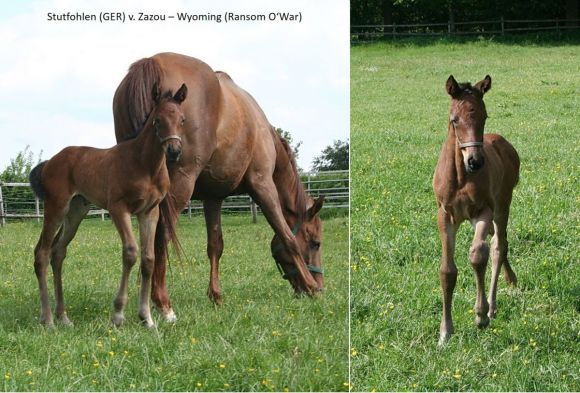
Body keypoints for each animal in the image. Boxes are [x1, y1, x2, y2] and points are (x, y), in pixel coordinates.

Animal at [29, 83, 188, 328]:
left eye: (182, 119)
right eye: (157, 120)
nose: (174, 151)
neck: (145, 165)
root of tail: (49, 163)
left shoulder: (149, 212)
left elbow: (148, 259)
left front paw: (147, 318)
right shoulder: (118, 208)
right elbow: (131, 253)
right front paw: (118, 315)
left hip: (76, 212)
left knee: (58, 253)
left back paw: (63, 317)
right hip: (56, 207)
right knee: (42, 253)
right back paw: (47, 320)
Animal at [430, 74, 520, 344]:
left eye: (484, 116)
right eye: (454, 119)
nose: (475, 161)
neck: (460, 177)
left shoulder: (484, 211)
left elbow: (478, 254)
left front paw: (480, 315)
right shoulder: (445, 215)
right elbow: (447, 271)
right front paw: (445, 331)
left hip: (503, 204)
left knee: (498, 245)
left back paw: (492, 306)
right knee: (496, 243)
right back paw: (510, 280)